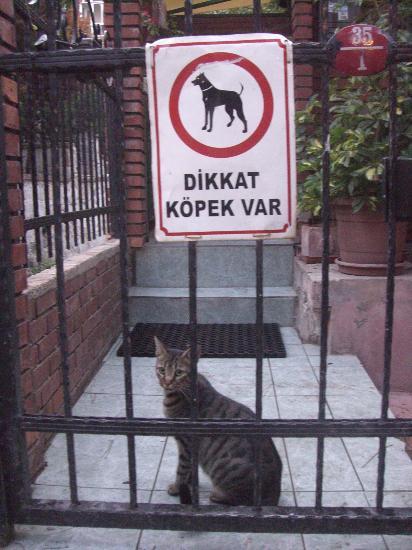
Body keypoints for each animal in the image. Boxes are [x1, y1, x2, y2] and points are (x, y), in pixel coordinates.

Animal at [154, 336, 282, 506]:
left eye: (179, 372)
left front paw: (177, 487)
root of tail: (274, 496)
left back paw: (217, 495)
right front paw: (189, 483)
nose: (167, 382)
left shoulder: (186, 442)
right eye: (162, 370)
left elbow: (182, 469)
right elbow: (190, 468)